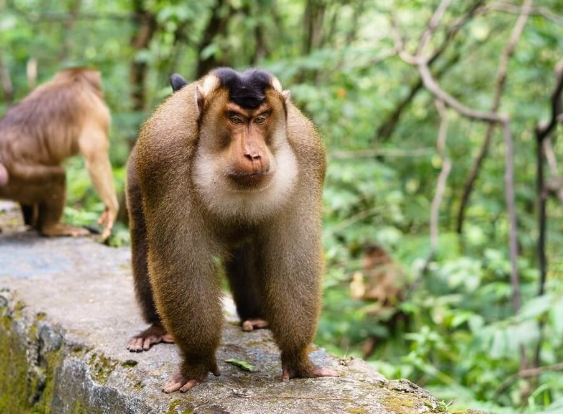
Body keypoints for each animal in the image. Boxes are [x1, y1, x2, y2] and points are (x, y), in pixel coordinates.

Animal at [0, 68, 119, 239]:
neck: (72, 81)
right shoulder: (94, 109)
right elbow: (95, 156)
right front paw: (112, 208)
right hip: (17, 178)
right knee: (56, 177)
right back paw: (51, 228)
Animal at [126, 67, 340, 392]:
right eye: (236, 119)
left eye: (261, 118)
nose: (253, 154)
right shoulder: (164, 157)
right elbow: (183, 262)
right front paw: (197, 361)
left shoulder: (307, 156)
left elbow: (293, 261)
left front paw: (297, 358)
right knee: (143, 238)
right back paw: (156, 328)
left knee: (249, 248)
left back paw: (255, 317)